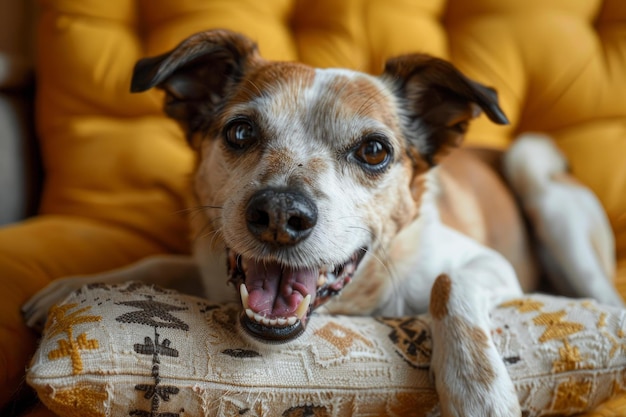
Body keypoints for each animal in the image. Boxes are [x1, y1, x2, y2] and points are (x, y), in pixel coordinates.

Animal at [23, 29, 620, 416]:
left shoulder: (488, 264)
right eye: (240, 132)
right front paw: (73, 286)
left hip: (536, 173)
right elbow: (159, 261)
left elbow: (448, 284)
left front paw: (479, 395)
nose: (279, 216)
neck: (357, 304)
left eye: (375, 151)